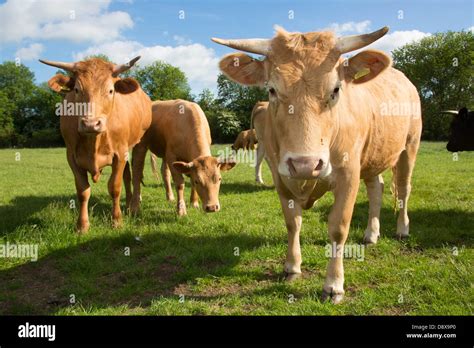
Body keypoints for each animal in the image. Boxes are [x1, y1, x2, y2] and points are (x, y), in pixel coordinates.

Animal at [41, 56, 153, 234]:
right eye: (77, 90)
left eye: (111, 91)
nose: (91, 124)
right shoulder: (71, 156)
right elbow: (83, 190)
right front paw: (82, 225)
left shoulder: (119, 154)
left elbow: (114, 187)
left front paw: (117, 221)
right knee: (127, 175)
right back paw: (128, 203)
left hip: (138, 143)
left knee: (135, 173)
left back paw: (133, 207)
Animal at [213, 25, 420, 304]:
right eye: (272, 90)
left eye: (336, 90)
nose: (305, 164)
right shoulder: (281, 178)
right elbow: (292, 222)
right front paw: (292, 267)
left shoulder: (348, 176)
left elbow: (338, 228)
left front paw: (334, 285)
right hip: (372, 156)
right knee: (376, 188)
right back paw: (371, 234)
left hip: (409, 146)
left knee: (404, 189)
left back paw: (402, 229)